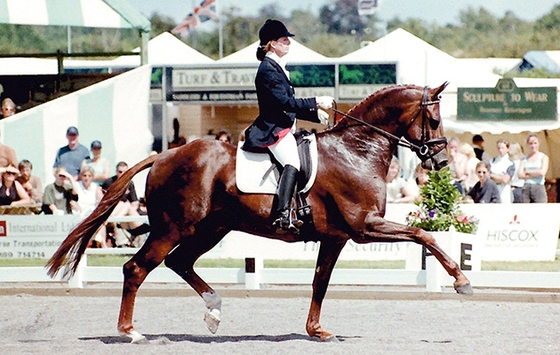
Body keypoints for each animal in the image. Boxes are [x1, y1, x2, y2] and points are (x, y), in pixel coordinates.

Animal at [47, 81, 472, 344]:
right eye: (434, 120)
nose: (441, 163)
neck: (356, 150)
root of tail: (165, 154)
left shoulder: (336, 236)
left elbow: (320, 282)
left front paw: (316, 330)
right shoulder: (364, 226)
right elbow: (425, 234)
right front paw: (461, 280)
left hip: (210, 229)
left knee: (179, 263)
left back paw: (214, 312)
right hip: (173, 227)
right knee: (136, 268)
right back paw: (131, 332)